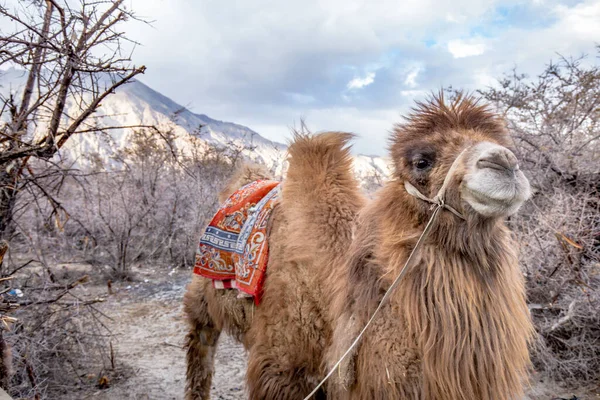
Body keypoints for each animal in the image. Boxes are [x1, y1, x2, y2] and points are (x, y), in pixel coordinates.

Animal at [184, 94, 536, 400]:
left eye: (506, 146)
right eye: (421, 161)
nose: (504, 162)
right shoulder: (281, 367)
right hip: (202, 297)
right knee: (200, 343)